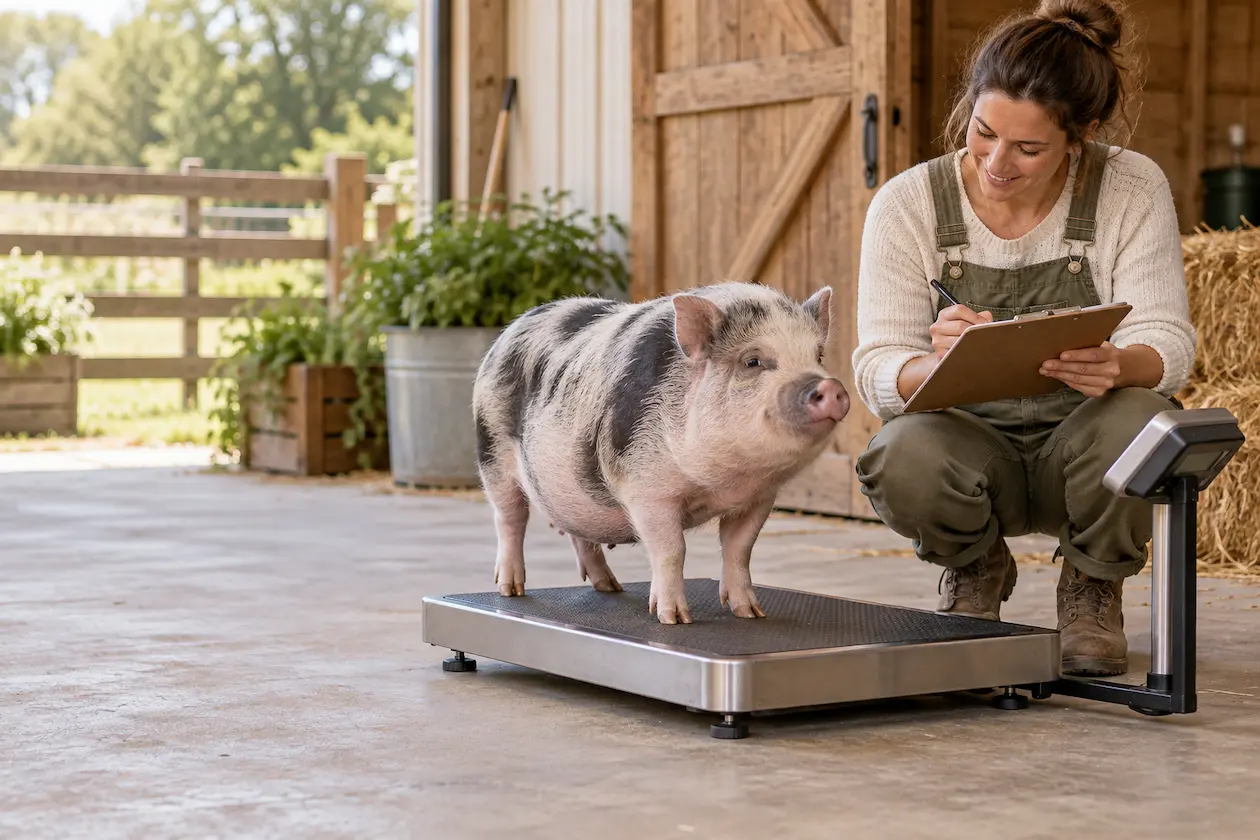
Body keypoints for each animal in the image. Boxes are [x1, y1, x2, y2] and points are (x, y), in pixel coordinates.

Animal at [471, 281, 850, 625]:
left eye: (818, 356)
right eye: (753, 361)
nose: (830, 386)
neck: (725, 481)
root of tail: (508, 332)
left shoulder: (758, 498)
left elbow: (740, 549)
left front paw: (751, 614)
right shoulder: (647, 489)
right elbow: (671, 550)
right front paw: (674, 619)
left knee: (579, 534)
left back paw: (610, 587)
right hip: (492, 452)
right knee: (509, 519)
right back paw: (511, 589)